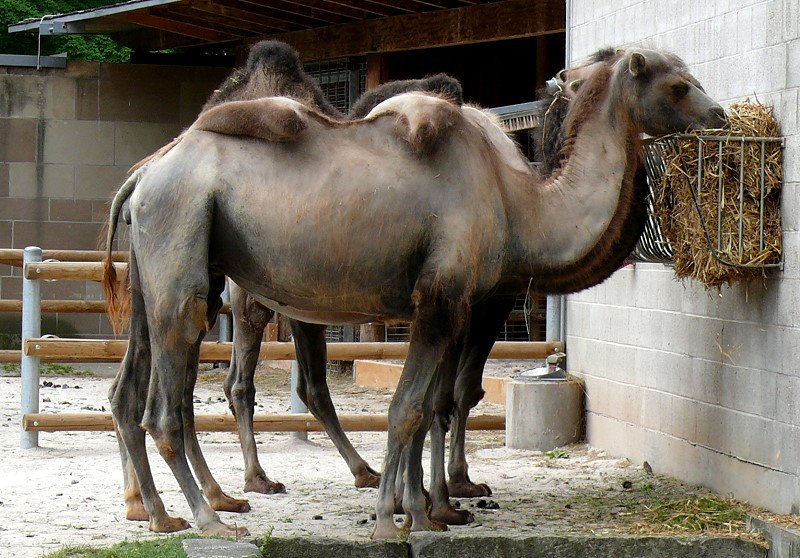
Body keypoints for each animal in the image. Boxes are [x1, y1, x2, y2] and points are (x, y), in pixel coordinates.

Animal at [101, 49, 724, 544]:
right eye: (678, 83)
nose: (718, 114)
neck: (518, 203)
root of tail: (145, 173)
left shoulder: (447, 307)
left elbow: (427, 407)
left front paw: (424, 513)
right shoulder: (443, 298)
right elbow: (408, 410)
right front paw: (392, 519)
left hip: (163, 269)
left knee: (134, 391)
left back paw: (162, 513)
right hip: (182, 242)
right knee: (169, 403)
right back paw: (211, 518)